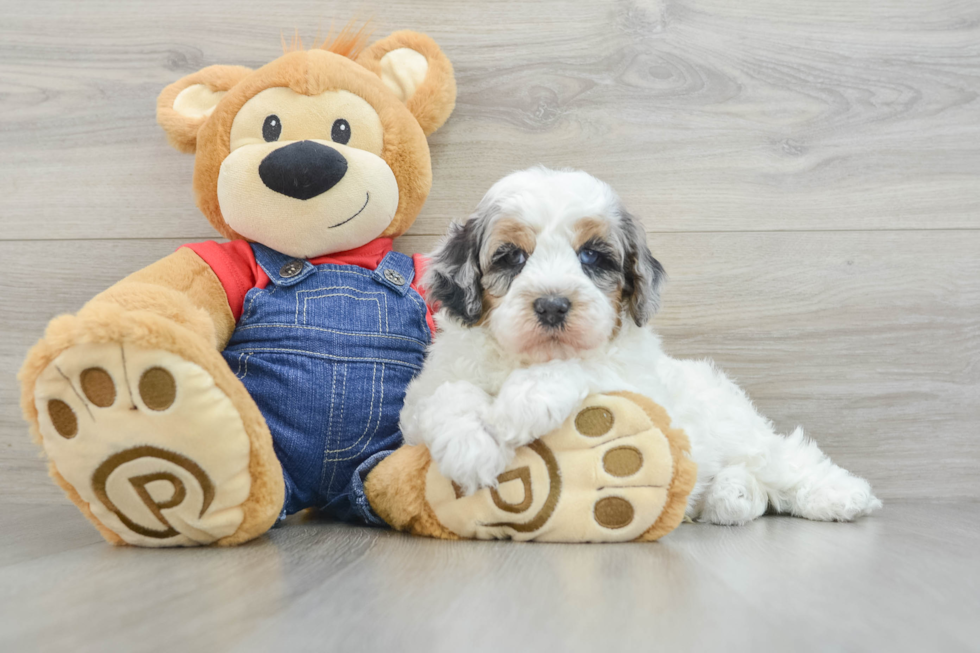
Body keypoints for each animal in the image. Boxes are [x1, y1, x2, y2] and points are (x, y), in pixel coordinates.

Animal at [398, 167, 880, 524]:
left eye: (593, 256)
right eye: (511, 257)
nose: (553, 305)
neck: (527, 358)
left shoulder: (638, 390)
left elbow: (586, 366)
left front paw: (523, 402)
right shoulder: (421, 402)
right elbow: (447, 397)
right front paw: (470, 445)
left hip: (740, 430)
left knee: (786, 458)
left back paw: (844, 495)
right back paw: (730, 496)